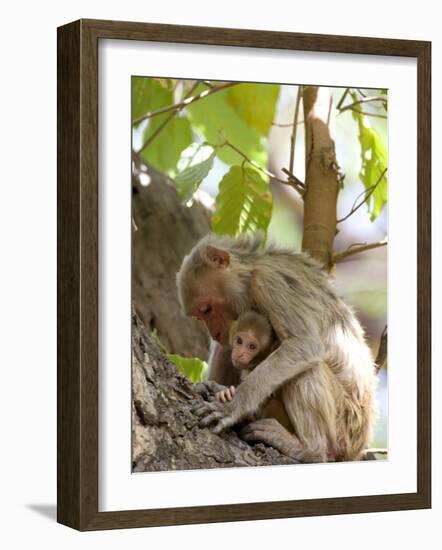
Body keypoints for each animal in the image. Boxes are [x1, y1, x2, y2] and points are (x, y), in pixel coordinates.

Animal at [176, 235, 376, 464]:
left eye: (206, 309)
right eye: (200, 316)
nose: (214, 332)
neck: (251, 274)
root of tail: (360, 444)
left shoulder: (270, 283)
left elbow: (304, 344)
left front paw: (233, 406)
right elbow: (228, 348)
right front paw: (216, 389)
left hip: (346, 425)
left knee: (307, 370)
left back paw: (311, 450)